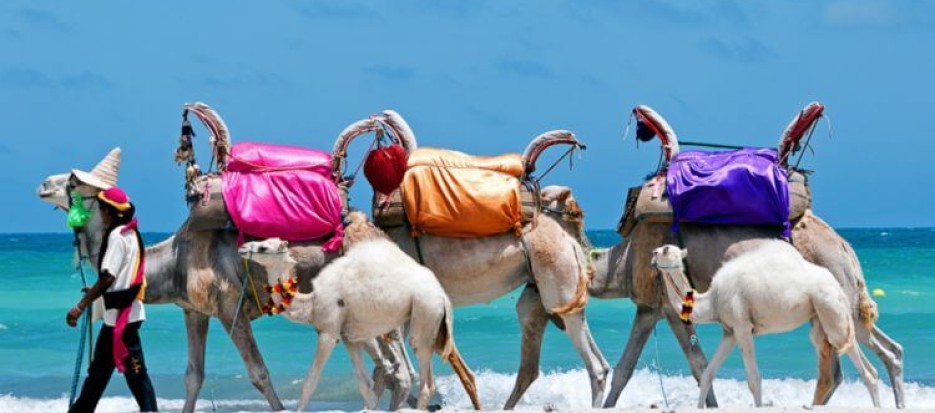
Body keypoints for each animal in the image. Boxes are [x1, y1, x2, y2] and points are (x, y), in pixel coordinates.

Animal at [238, 212, 481, 411]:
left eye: (264, 248)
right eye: (260, 241)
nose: (242, 248)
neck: (312, 301)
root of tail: (443, 297)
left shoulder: (329, 333)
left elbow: (310, 383)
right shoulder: (350, 338)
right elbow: (365, 388)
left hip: (424, 314)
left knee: (425, 382)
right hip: (430, 325)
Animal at [333, 116, 609, 409]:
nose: (337, 168)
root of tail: (571, 243)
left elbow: (398, 367)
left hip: (559, 282)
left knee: (595, 366)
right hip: (542, 293)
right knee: (542, 360)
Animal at [652, 242, 881, 408]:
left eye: (664, 249)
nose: (652, 254)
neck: (712, 300)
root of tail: (836, 284)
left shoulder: (743, 327)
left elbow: (753, 378)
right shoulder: (729, 332)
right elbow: (708, 374)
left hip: (829, 305)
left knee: (856, 358)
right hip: (821, 316)